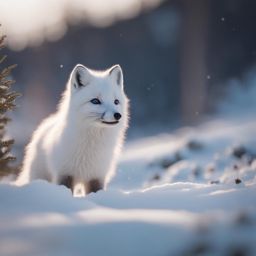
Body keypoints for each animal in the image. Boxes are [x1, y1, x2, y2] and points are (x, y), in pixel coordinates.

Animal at [16, 64, 128, 194]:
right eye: (95, 101)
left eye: (116, 101)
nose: (118, 115)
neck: (91, 146)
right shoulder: (65, 174)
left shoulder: (96, 177)